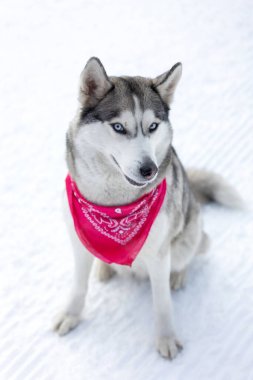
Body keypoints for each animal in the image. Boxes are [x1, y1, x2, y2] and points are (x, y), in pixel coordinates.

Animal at [53, 57, 241, 360]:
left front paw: (166, 338)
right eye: (119, 127)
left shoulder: (158, 254)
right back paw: (104, 268)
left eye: (152, 126)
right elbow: (79, 286)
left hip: (190, 235)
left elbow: (162, 302)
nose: (148, 169)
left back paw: (179, 275)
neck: (114, 206)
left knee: (189, 255)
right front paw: (71, 315)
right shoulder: (79, 241)